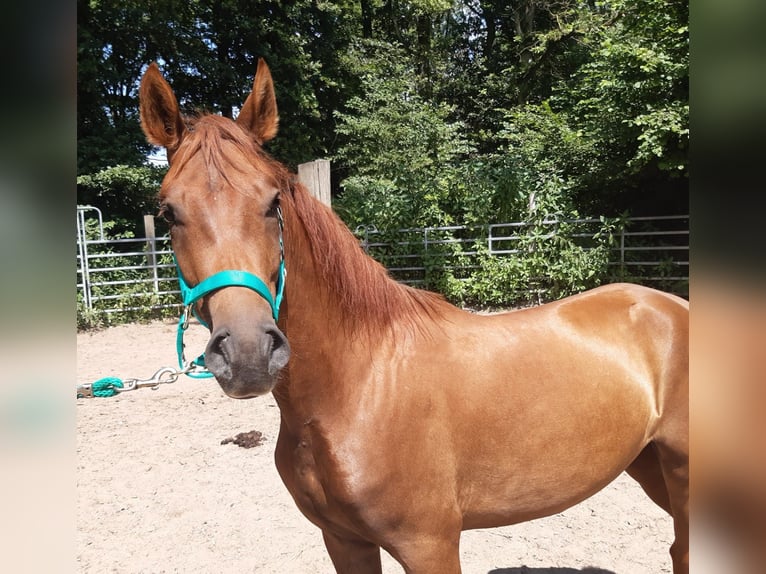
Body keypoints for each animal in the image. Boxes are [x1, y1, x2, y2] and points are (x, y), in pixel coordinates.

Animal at [139, 59, 689, 573]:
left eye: (273, 202)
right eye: (167, 212)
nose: (249, 354)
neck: (360, 388)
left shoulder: (430, 546)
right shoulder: (343, 540)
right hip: (648, 464)